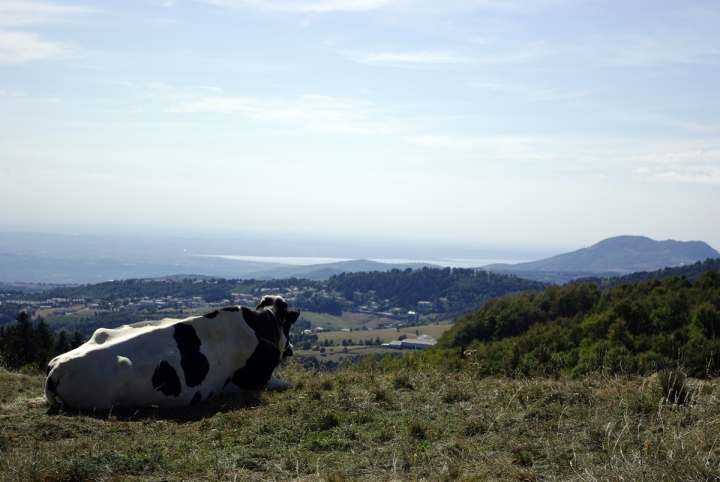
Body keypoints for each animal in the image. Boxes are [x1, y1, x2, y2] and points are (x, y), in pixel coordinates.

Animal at [44, 296, 298, 408]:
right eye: (288, 326)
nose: (291, 350)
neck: (257, 325)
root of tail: (58, 367)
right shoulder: (258, 380)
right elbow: (289, 385)